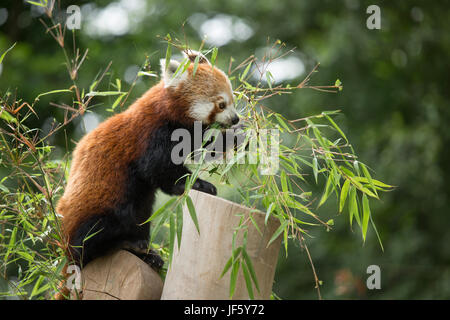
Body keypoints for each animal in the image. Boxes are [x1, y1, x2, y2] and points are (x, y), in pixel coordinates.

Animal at [56, 48, 239, 278]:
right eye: (221, 104)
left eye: (233, 100)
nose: (235, 119)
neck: (170, 113)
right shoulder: (151, 135)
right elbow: (158, 169)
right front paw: (198, 184)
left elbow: (202, 146)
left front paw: (237, 139)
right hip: (96, 206)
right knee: (93, 234)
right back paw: (126, 244)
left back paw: (147, 255)